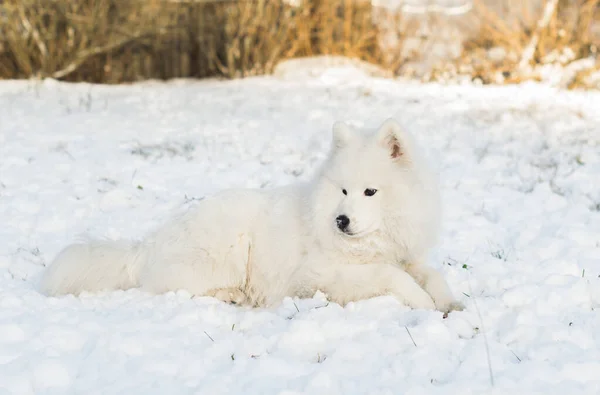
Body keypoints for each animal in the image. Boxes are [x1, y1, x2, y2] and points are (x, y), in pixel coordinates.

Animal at [39, 119, 464, 314]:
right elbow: (391, 277)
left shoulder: (406, 257)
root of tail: (147, 245)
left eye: (369, 192)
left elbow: (432, 274)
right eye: (343, 191)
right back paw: (233, 295)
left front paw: (449, 302)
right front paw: (424, 303)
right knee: (177, 287)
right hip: (227, 247)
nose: (341, 221)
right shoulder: (319, 276)